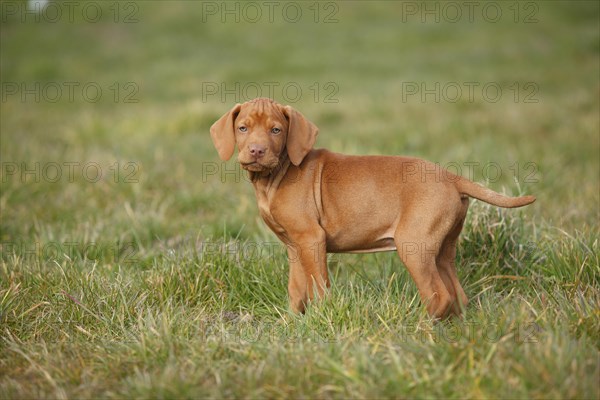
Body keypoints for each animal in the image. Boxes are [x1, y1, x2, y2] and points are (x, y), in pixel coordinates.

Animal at [210, 97, 536, 318]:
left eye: (276, 130)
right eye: (242, 128)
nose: (256, 150)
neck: (276, 175)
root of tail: (451, 176)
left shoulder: (312, 239)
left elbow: (319, 286)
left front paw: (322, 318)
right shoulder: (294, 245)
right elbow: (296, 288)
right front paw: (293, 322)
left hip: (413, 245)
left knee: (438, 295)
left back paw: (419, 327)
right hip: (443, 248)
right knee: (457, 295)